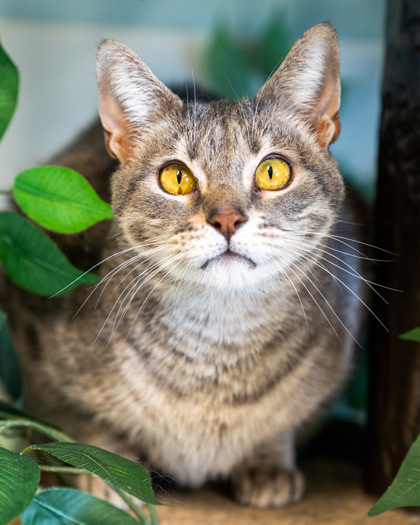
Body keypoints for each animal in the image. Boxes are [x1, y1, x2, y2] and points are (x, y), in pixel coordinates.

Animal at [1, 23, 366, 508]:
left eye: (273, 172)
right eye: (176, 177)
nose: (227, 219)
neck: (217, 347)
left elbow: (281, 420)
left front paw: (269, 461)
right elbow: (79, 417)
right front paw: (107, 469)